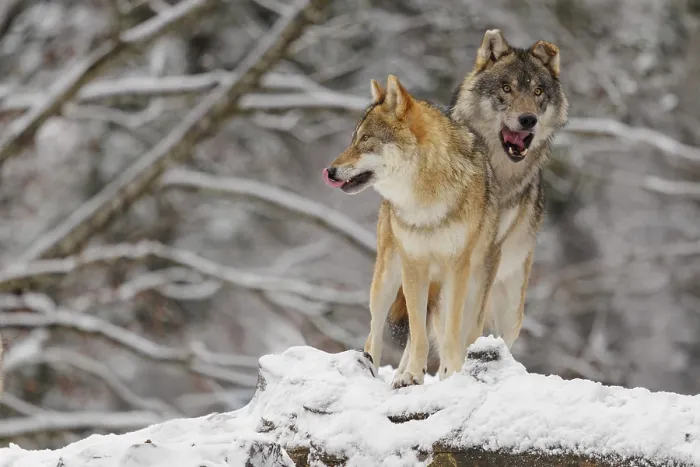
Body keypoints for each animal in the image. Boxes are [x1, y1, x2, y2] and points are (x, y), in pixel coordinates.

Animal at [322, 75, 500, 387]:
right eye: (354, 139)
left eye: (366, 140)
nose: (330, 171)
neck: (425, 200)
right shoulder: (413, 266)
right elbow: (417, 333)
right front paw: (412, 376)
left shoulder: (458, 268)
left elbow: (451, 331)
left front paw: (451, 373)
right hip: (385, 281)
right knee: (374, 334)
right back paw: (371, 370)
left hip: (473, 283)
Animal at [389, 29, 569, 370]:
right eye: (506, 88)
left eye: (538, 91)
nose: (528, 119)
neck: (497, 172)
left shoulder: (489, 253)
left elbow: (469, 324)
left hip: (511, 307)